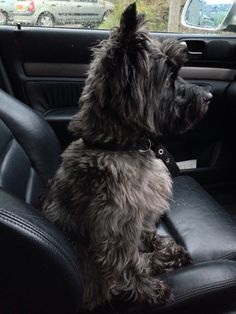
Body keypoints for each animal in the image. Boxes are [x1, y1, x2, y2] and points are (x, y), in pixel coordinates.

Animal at [42, 1, 212, 312]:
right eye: (168, 78)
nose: (208, 98)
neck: (120, 146)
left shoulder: (138, 212)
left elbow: (144, 235)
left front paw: (165, 247)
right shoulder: (115, 229)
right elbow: (127, 263)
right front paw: (149, 290)